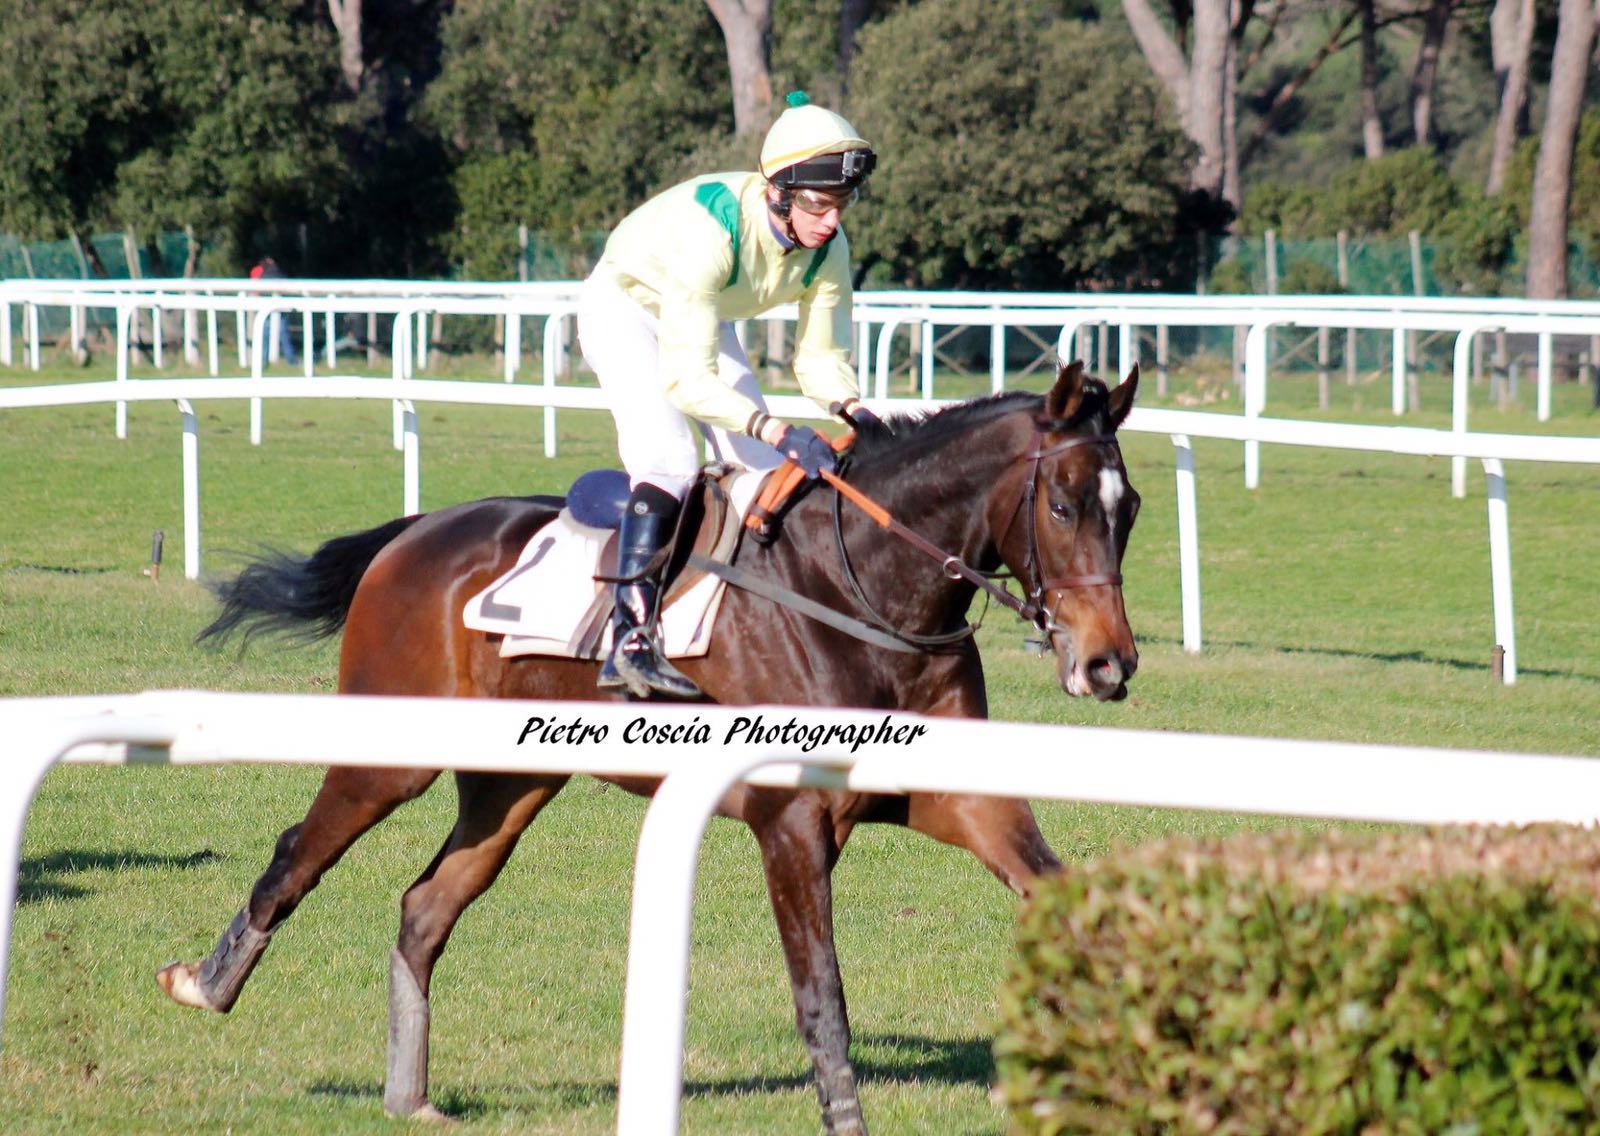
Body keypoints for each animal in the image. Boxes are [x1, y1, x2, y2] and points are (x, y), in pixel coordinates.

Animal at [156, 360, 1139, 1132]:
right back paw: (207, 983)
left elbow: (1064, 900)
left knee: (426, 904)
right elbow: (821, 998)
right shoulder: (791, 822)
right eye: (1060, 505)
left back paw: (412, 1097)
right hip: (392, 756)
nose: (1108, 663)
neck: (864, 593)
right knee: (299, 852)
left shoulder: (962, 799)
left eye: (1127, 510)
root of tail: (418, 531)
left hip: (510, 783)